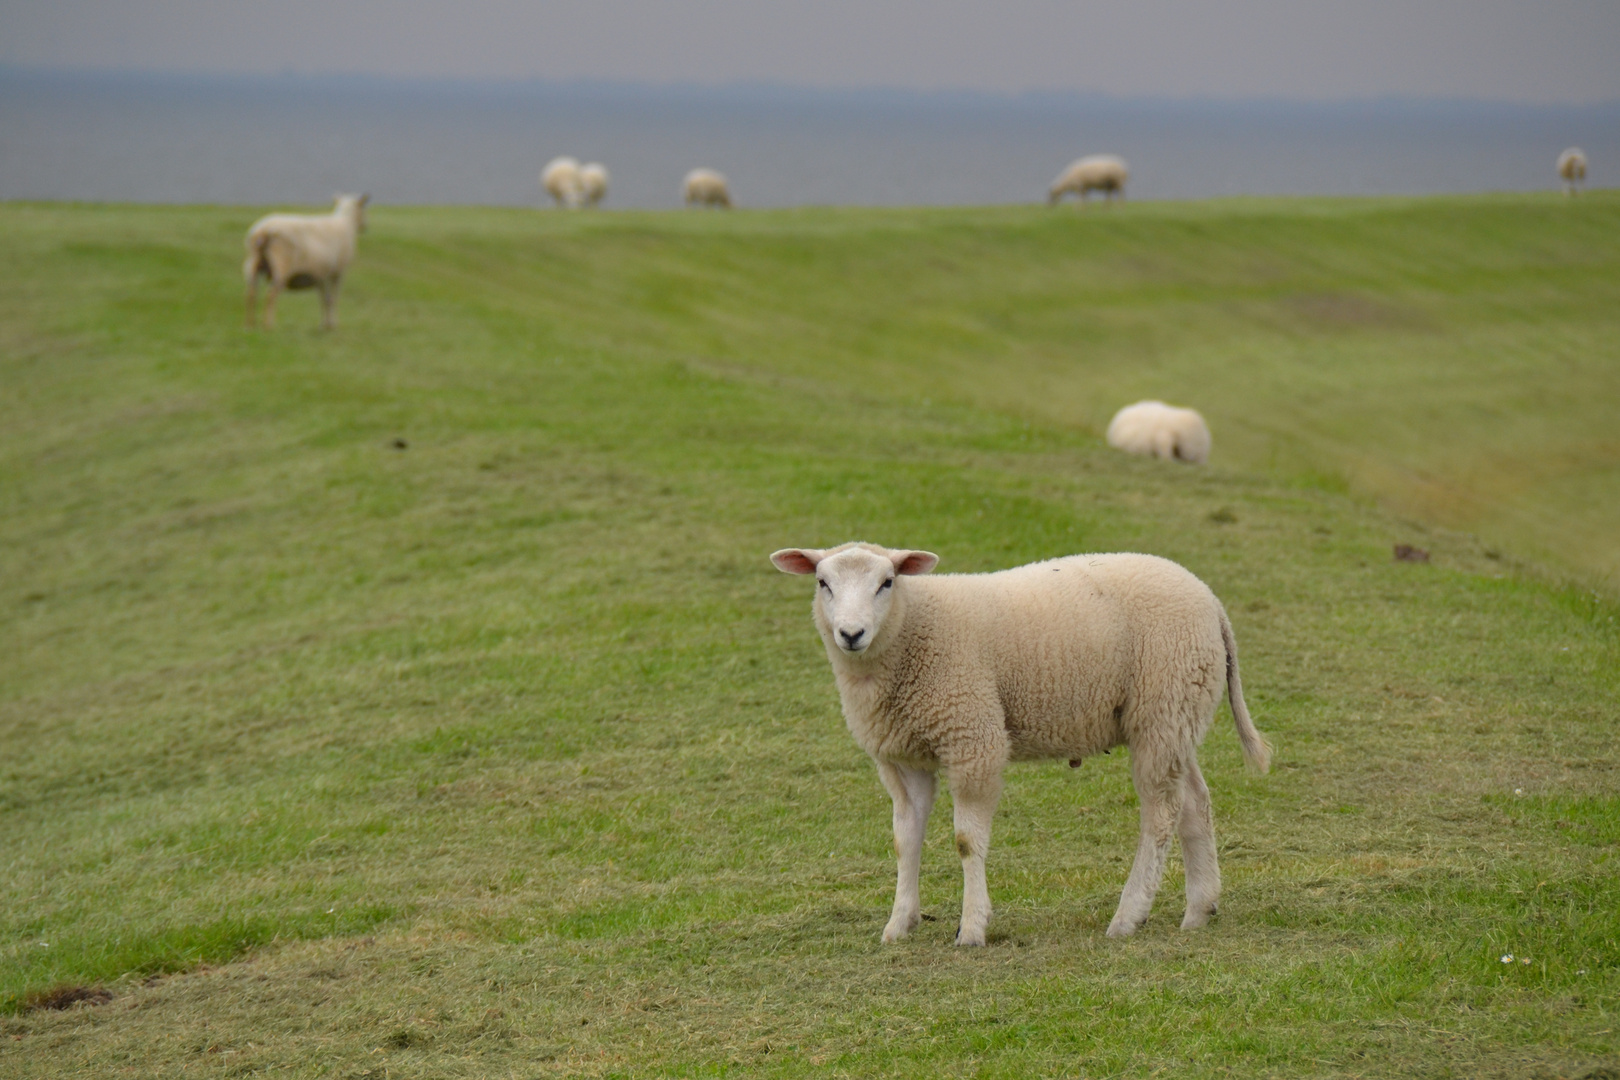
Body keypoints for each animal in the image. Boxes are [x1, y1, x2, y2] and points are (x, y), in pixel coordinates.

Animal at [241, 193, 369, 330]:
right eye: (363, 208)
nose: (365, 226)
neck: (346, 222)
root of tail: (263, 230)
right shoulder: (337, 272)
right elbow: (334, 298)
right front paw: (333, 325)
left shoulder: (321, 275)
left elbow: (324, 299)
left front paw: (325, 325)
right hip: (281, 265)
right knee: (271, 294)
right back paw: (269, 325)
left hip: (252, 262)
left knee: (251, 293)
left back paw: (249, 325)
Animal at [764, 544, 1270, 939]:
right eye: (823, 583)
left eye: (887, 582)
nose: (851, 634)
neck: (912, 630)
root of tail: (1210, 601)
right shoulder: (902, 757)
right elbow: (905, 839)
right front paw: (898, 924)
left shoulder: (974, 738)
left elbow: (967, 840)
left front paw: (972, 927)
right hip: (1176, 716)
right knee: (1194, 803)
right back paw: (1199, 909)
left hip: (1163, 706)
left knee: (1160, 814)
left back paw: (1128, 916)